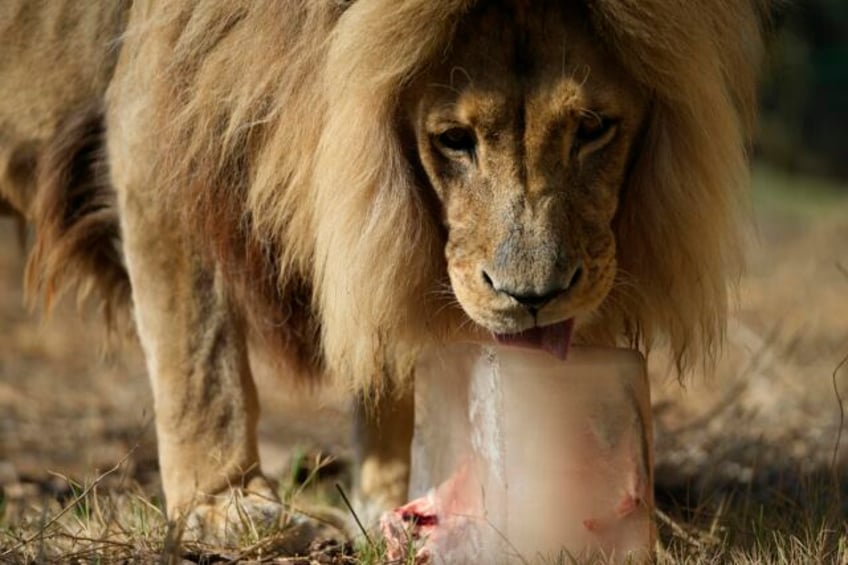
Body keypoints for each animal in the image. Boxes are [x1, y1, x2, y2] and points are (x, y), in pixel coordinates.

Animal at [1, 0, 768, 540]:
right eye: (454, 140)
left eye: (592, 129)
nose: (534, 297)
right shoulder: (155, 129)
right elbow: (201, 359)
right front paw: (230, 510)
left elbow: (386, 346)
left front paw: (393, 494)